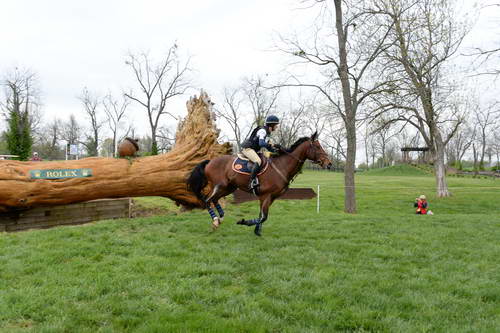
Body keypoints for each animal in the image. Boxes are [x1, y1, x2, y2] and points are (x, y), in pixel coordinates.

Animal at [187, 131, 332, 235]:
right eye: (317, 147)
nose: (329, 163)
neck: (283, 166)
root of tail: (210, 161)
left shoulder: (271, 197)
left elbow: (262, 215)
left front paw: (257, 230)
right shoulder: (266, 195)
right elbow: (263, 217)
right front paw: (244, 222)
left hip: (229, 187)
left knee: (214, 199)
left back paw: (219, 219)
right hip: (220, 185)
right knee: (208, 200)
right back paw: (216, 220)